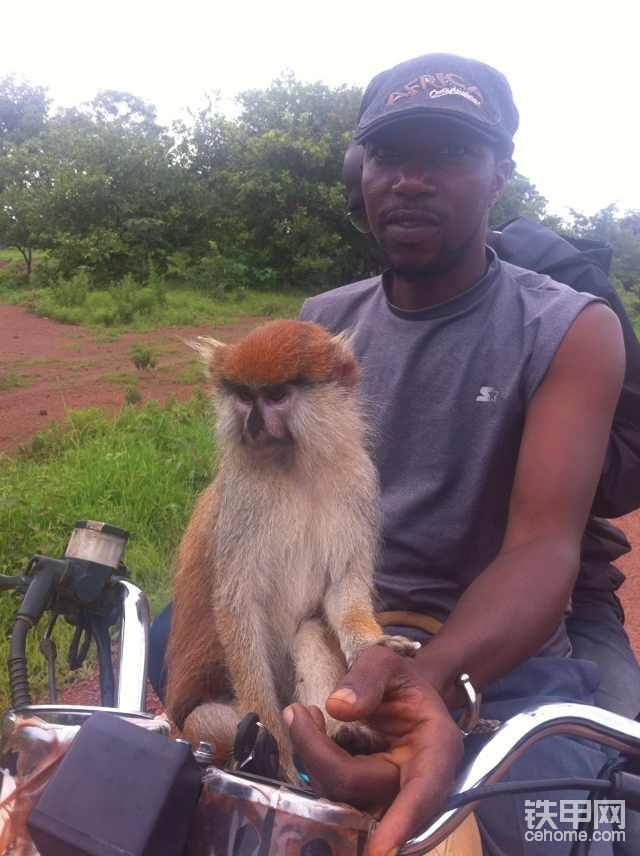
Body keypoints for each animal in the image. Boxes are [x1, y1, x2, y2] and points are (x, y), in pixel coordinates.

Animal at [164, 320, 420, 784]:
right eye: (244, 395)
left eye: (277, 396)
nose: (252, 423)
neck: (296, 466)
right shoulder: (244, 500)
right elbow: (237, 607)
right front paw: (272, 752)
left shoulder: (357, 480)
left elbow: (341, 588)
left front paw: (372, 646)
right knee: (209, 722)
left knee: (311, 630)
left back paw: (345, 735)